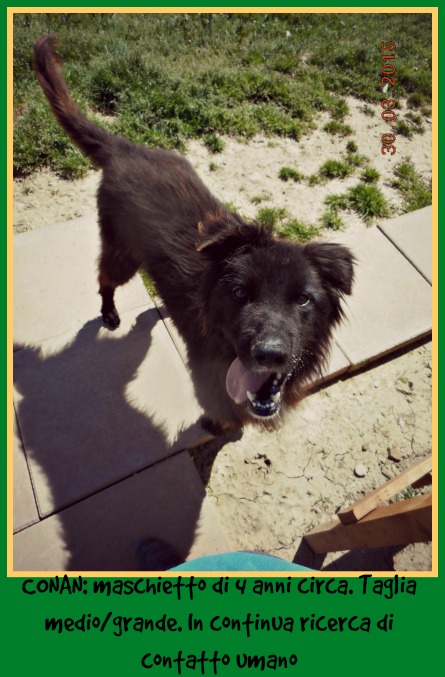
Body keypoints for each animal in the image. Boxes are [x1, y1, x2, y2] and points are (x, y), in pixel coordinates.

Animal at [33, 36, 354, 433]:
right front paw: (218, 427)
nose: (270, 354)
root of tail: (126, 148)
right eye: (239, 293)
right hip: (121, 254)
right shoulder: (209, 385)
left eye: (304, 299)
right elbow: (220, 414)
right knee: (104, 278)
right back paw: (109, 313)